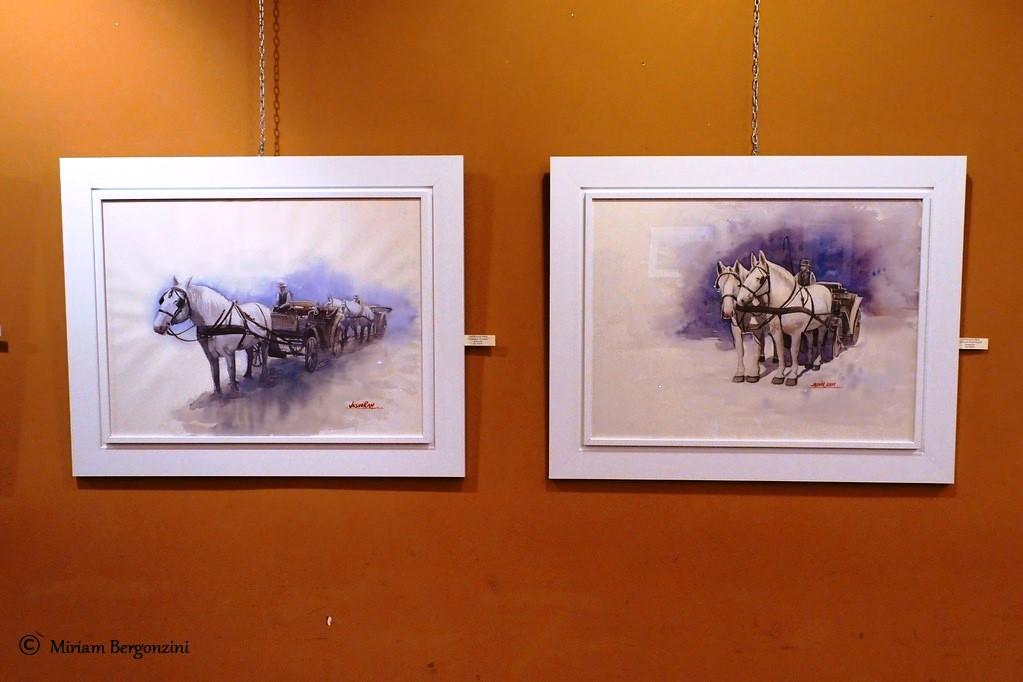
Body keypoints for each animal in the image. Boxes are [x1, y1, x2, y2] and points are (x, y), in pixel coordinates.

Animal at [734, 251, 833, 386]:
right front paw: (779, 375)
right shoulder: (777, 332)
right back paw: (808, 363)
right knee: (810, 339)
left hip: (823, 324)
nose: (740, 300)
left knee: (818, 341)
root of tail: (825, 288)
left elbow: (793, 351)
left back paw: (816, 363)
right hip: (809, 327)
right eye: (748, 275)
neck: (785, 304)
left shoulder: (796, 333)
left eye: (759, 278)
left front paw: (792, 376)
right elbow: (781, 351)